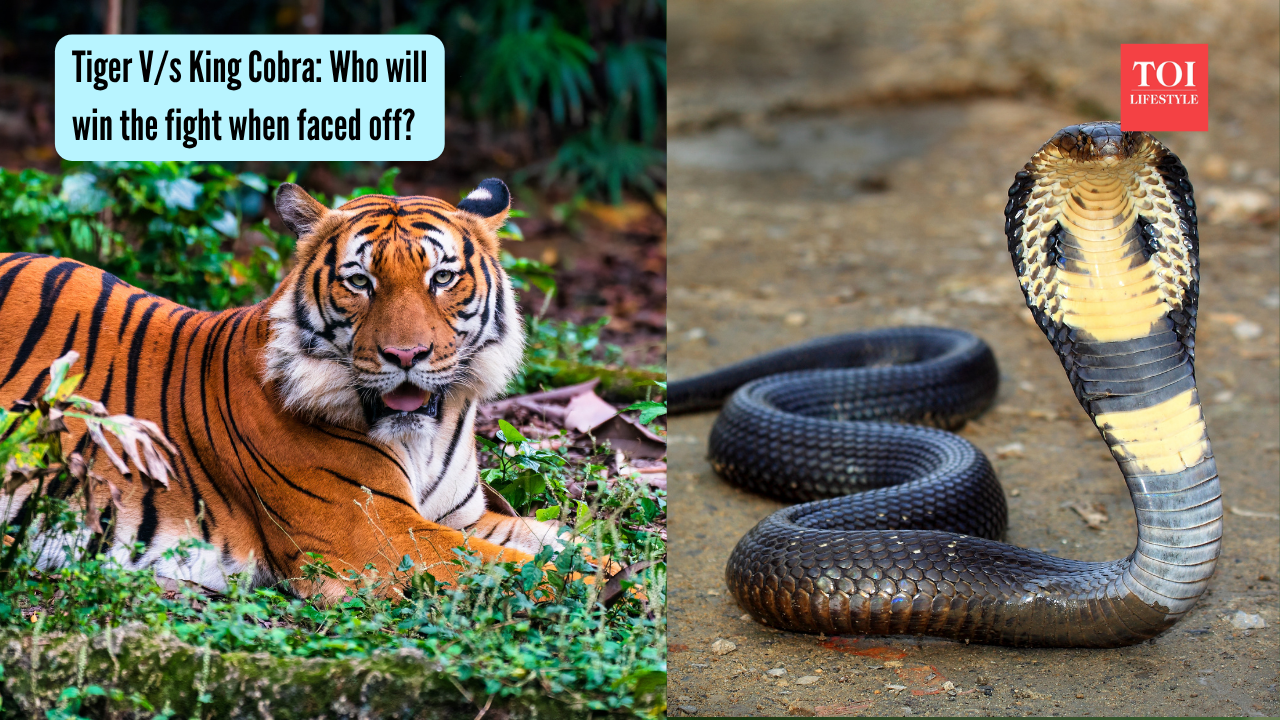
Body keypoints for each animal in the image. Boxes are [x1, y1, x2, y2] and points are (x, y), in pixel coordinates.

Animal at [0, 178, 566, 601]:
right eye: (360, 282)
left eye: (442, 279)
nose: (406, 356)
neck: (427, 434)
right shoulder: (380, 535)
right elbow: (523, 569)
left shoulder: (463, 518)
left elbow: (559, 541)